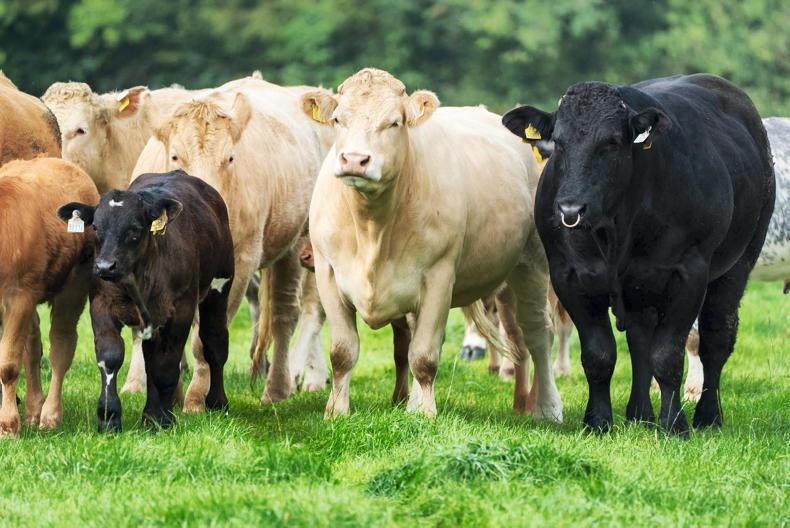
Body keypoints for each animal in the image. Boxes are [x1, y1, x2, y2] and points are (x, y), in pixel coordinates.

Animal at [0, 158, 98, 436]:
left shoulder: (18, 297)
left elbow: (7, 365)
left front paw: (8, 425)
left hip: (74, 284)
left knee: (61, 346)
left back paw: (50, 415)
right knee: (33, 347)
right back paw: (34, 409)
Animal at [58, 171, 234, 431]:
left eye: (134, 229)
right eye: (96, 227)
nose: (105, 266)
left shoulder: (180, 311)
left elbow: (167, 365)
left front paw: (163, 419)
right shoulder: (101, 305)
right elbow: (112, 357)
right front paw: (109, 417)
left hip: (220, 287)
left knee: (214, 342)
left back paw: (217, 402)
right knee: (151, 357)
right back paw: (150, 414)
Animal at [133, 78, 335, 411]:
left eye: (229, 157)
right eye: (175, 157)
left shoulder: (237, 265)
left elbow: (206, 337)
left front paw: (196, 398)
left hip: (295, 244)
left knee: (283, 314)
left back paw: (277, 388)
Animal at [302, 68, 562, 420]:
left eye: (394, 122)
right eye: (338, 119)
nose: (355, 160)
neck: (372, 227)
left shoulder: (439, 278)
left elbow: (424, 356)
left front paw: (424, 413)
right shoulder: (328, 274)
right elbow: (344, 352)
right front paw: (337, 410)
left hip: (532, 262)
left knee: (537, 333)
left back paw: (547, 407)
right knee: (517, 336)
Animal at [503, 74, 775, 436]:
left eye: (612, 142)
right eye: (558, 143)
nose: (571, 208)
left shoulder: (688, 274)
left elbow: (668, 354)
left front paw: (675, 424)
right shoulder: (569, 276)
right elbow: (599, 354)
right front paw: (597, 421)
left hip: (738, 264)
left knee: (717, 338)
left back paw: (707, 416)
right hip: (639, 288)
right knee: (640, 339)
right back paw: (639, 414)